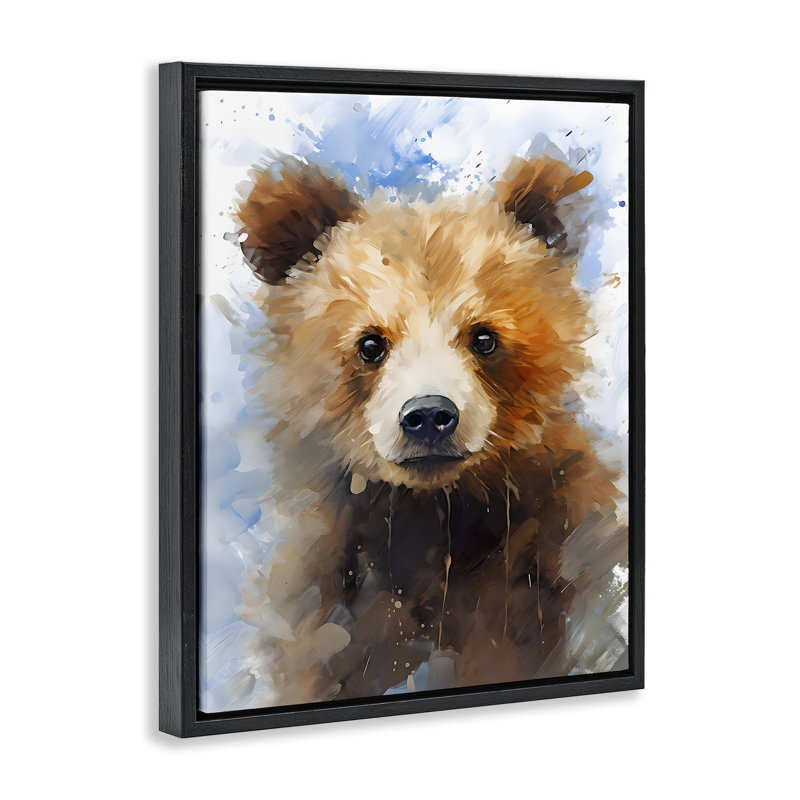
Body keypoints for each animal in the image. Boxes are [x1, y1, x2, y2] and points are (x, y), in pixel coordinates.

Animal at [231, 152, 628, 707]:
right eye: (370, 343)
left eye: (484, 337)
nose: (428, 416)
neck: (433, 513)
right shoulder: (332, 588)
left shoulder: (536, 571)